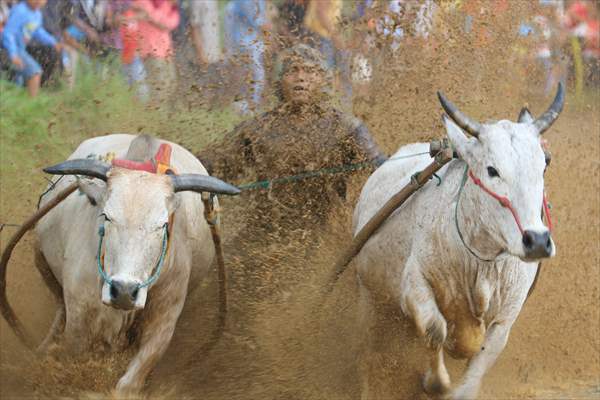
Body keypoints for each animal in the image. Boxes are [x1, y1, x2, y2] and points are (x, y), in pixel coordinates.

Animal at [29, 135, 237, 394]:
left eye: (162, 224)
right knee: (59, 309)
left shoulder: (164, 320)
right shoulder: (79, 316)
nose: (124, 291)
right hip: (40, 256)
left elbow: (130, 382)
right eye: (106, 216)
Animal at [352, 83, 564, 396]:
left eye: (544, 164)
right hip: (370, 297)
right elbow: (434, 329)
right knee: (369, 347)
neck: (481, 260)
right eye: (492, 170)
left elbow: (480, 358)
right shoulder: (413, 284)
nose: (537, 241)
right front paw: (434, 382)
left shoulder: (506, 316)